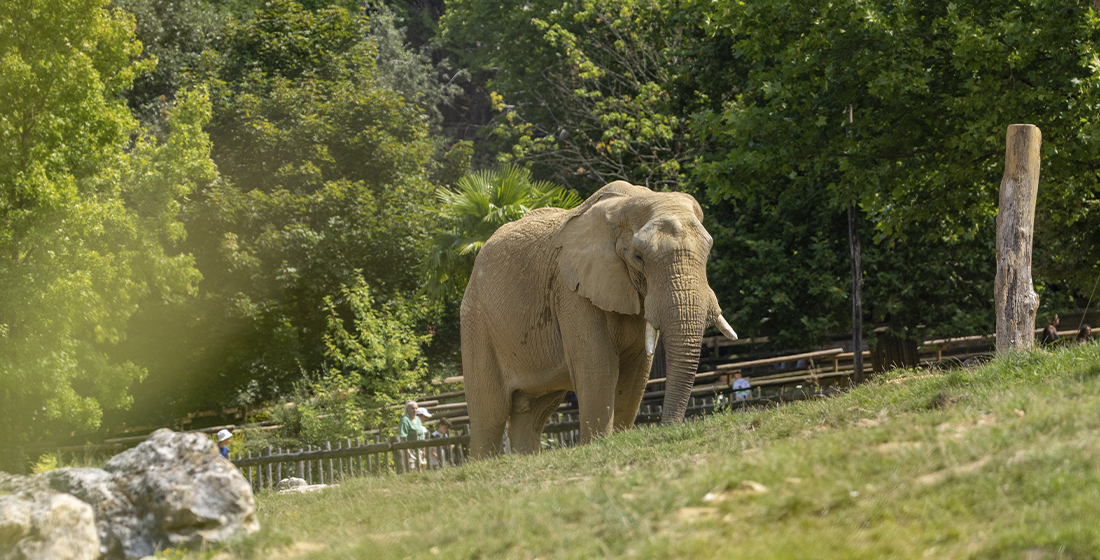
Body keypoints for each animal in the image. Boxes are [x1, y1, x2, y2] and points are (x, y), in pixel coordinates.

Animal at [460, 181, 738, 459]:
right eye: (638, 257)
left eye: (708, 253)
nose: (668, 428)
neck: (629, 202)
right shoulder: (571, 291)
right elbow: (598, 368)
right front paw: (599, 444)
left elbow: (636, 374)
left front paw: (620, 439)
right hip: (476, 323)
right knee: (490, 415)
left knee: (533, 414)